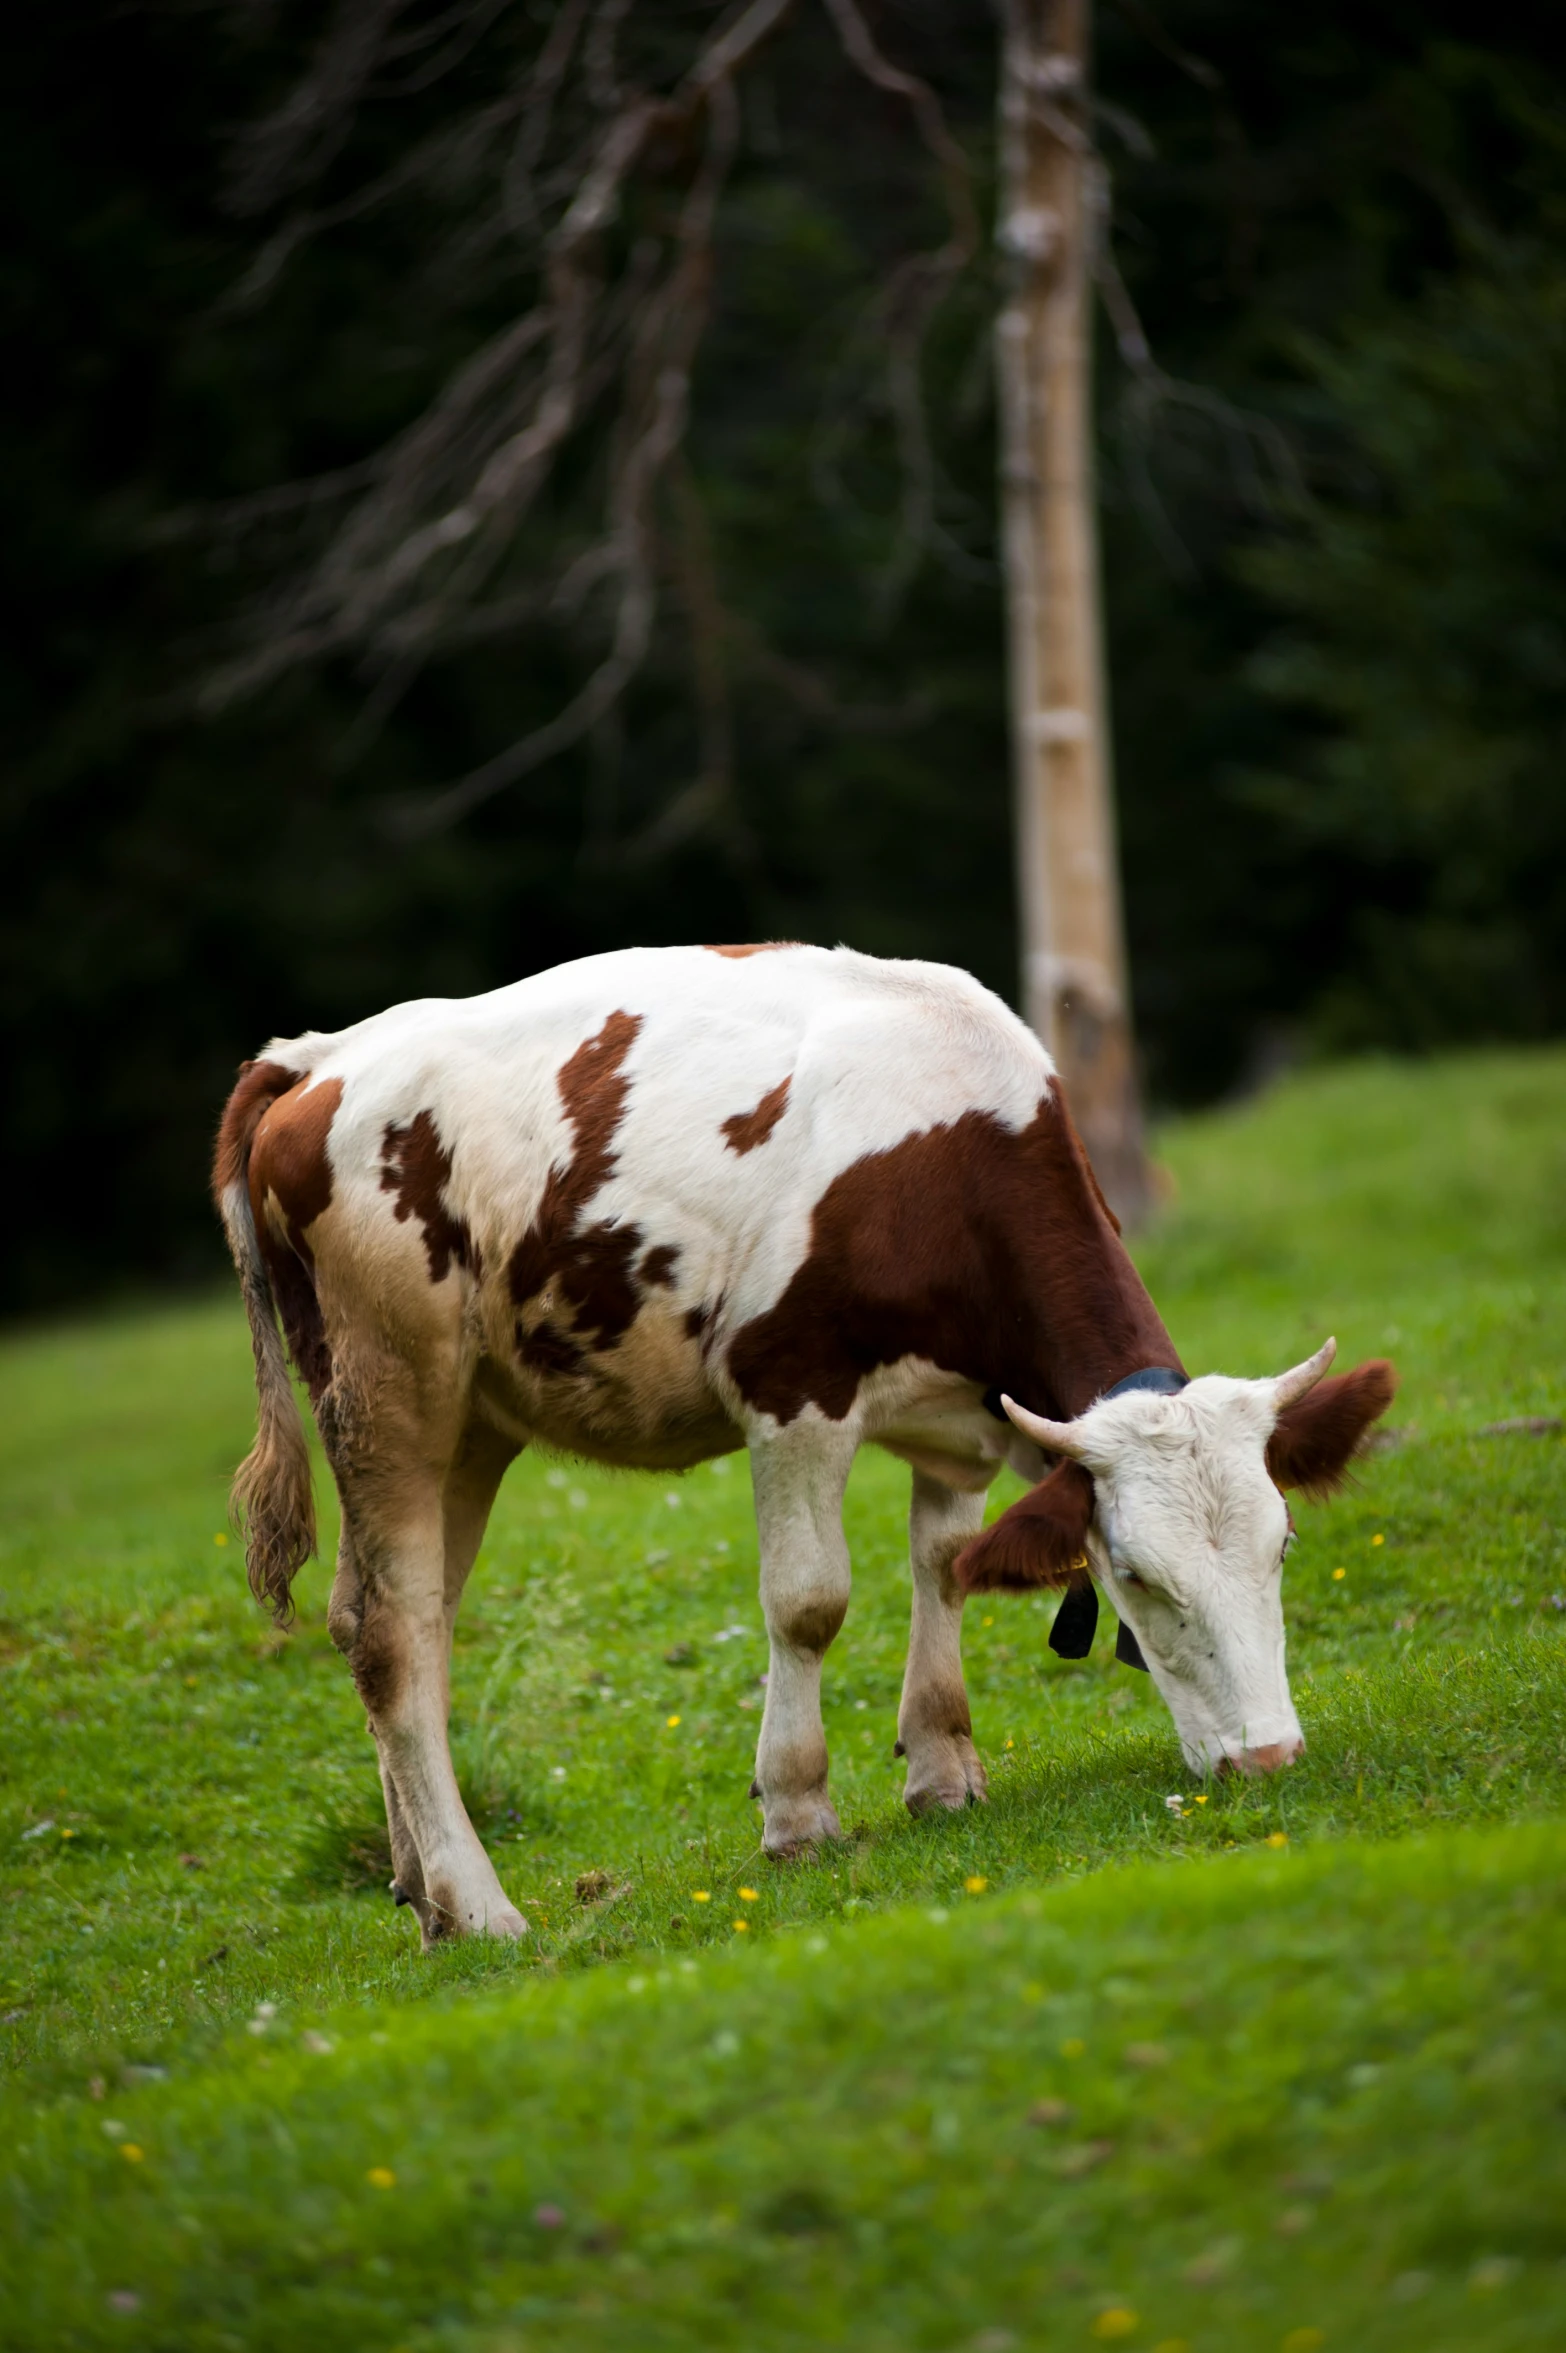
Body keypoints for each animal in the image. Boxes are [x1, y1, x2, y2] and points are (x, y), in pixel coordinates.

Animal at [210, 941, 1392, 1948]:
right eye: (1138, 1578)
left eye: (1282, 1547)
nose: (1271, 1755)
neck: (944, 1155)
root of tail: (319, 1058)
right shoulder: (791, 1389)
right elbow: (809, 1602)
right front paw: (797, 1812)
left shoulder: (962, 1422)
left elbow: (945, 1570)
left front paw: (942, 1772)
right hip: (391, 1393)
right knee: (391, 1637)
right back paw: (477, 1905)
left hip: (474, 1424)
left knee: (394, 1618)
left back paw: (419, 1887)